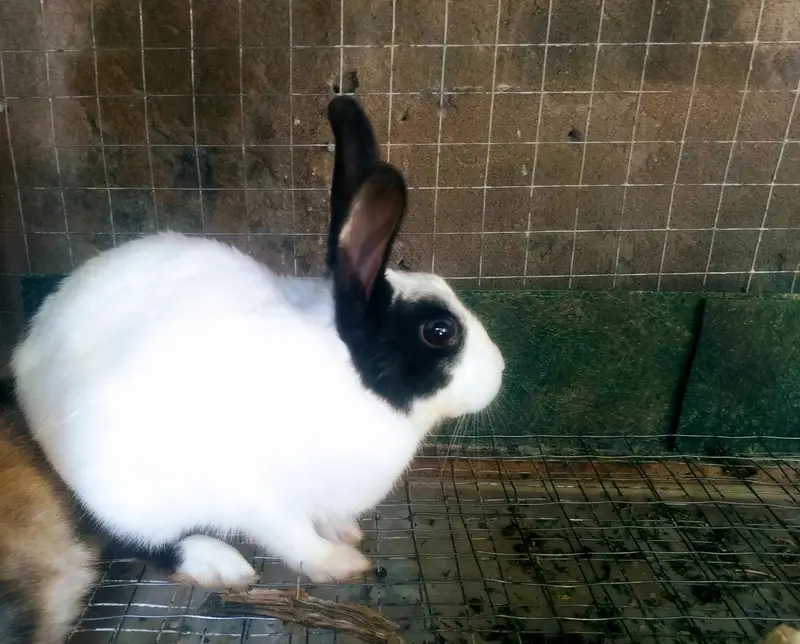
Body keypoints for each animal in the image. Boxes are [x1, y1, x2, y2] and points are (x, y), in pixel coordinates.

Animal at [11, 95, 505, 590]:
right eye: (439, 331)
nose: (500, 371)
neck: (352, 379)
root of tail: (25, 360)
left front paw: (346, 532)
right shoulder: (264, 501)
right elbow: (294, 539)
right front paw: (340, 563)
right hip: (126, 495)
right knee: (138, 541)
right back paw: (220, 563)